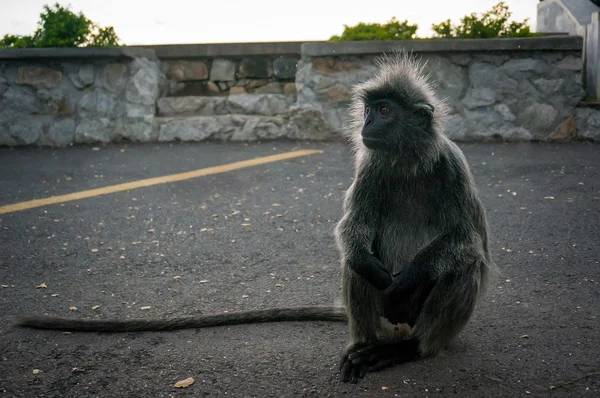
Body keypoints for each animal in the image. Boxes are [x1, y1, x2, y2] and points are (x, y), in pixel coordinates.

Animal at [332, 51, 496, 384]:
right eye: (369, 109)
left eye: (384, 110)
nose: (367, 122)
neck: (408, 163)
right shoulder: (370, 168)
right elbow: (355, 225)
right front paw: (372, 268)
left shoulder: (452, 166)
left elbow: (467, 239)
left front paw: (404, 282)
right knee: (354, 261)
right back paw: (363, 347)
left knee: (463, 264)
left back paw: (409, 348)